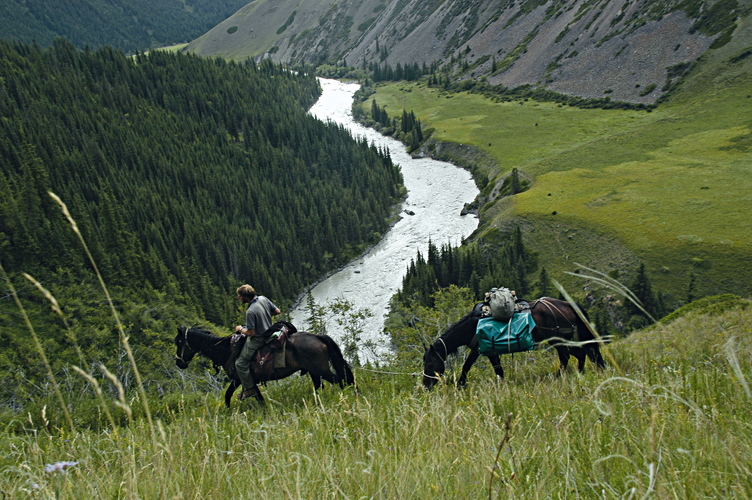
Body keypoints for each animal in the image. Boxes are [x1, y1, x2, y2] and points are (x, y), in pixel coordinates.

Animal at [175, 326, 354, 408]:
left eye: (178, 342)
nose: (178, 363)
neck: (227, 350)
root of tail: (318, 337)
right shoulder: (244, 380)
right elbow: (236, 395)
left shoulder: (241, 378)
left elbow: (234, 395)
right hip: (314, 371)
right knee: (320, 386)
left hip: (321, 369)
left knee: (342, 381)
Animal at [424, 296, 604, 390]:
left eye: (430, 363)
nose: (426, 385)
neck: (472, 325)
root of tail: (567, 304)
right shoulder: (484, 350)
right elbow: (485, 368)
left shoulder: (484, 350)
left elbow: (476, 367)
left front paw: (461, 386)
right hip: (559, 340)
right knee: (580, 353)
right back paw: (579, 373)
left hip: (557, 340)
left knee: (567, 357)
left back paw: (559, 377)